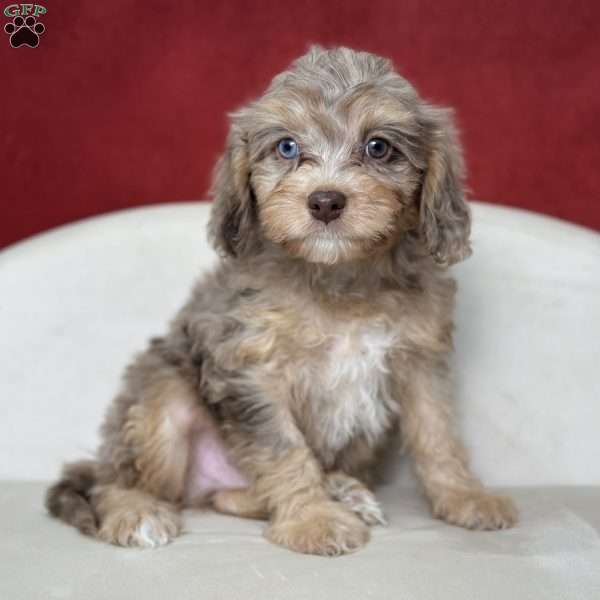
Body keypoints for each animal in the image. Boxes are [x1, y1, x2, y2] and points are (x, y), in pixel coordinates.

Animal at [45, 44, 516, 556]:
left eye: (378, 147)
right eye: (287, 147)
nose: (326, 201)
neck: (339, 277)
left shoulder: (420, 360)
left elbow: (437, 433)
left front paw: (464, 494)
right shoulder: (252, 369)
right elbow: (283, 449)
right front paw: (312, 518)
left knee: (229, 497)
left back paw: (342, 490)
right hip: (160, 404)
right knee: (114, 482)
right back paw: (136, 511)